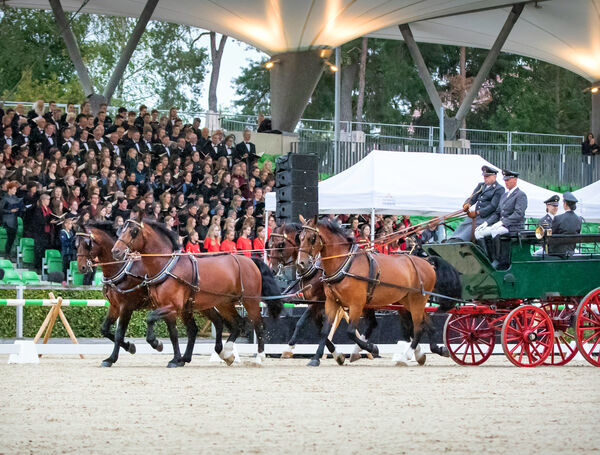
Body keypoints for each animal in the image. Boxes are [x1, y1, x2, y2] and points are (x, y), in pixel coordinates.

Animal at [77, 225, 244, 370]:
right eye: (76, 243)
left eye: (87, 244)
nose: (81, 267)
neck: (122, 269)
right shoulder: (115, 306)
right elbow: (105, 329)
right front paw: (129, 347)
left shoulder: (126, 307)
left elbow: (119, 334)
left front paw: (113, 358)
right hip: (196, 305)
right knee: (202, 326)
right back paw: (193, 357)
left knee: (219, 322)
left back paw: (220, 351)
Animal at [111, 213, 282, 366]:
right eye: (121, 229)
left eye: (133, 231)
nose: (116, 251)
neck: (167, 266)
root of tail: (250, 261)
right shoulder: (165, 306)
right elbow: (172, 331)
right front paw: (175, 357)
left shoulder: (172, 306)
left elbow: (150, 318)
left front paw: (156, 344)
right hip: (224, 303)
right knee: (237, 323)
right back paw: (227, 353)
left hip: (249, 301)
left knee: (258, 325)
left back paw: (259, 358)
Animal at [298, 217, 448, 366]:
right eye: (300, 237)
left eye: (312, 238)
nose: (301, 263)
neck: (345, 264)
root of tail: (427, 263)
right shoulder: (331, 302)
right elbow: (324, 331)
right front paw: (317, 358)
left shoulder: (356, 304)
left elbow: (350, 331)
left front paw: (372, 347)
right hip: (410, 301)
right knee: (428, 325)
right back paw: (434, 351)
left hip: (417, 300)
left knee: (418, 328)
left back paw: (406, 356)